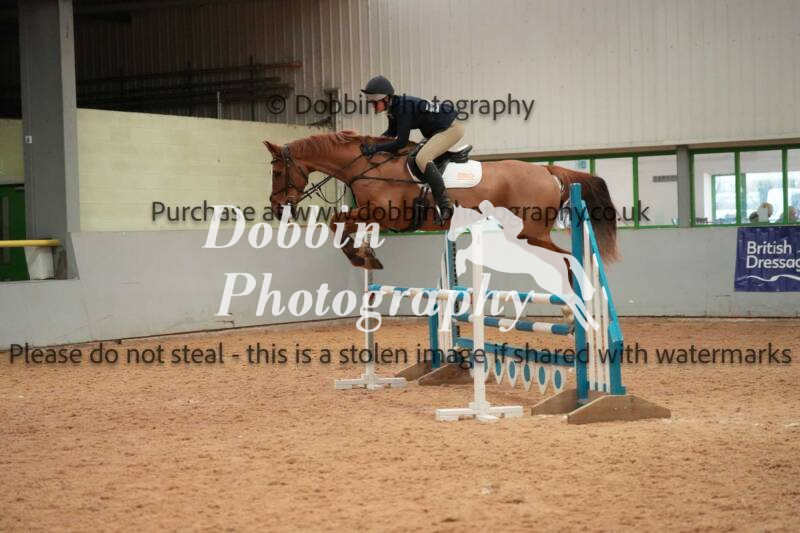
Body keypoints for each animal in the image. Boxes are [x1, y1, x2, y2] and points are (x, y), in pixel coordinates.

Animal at [264, 130, 618, 270]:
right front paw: (365, 255)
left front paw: (360, 257)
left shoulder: (386, 214)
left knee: (566, 259)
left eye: (278, 172)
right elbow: (342, 224)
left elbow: (337, 220)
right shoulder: (371, 213)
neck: (366, 166)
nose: (277, 208)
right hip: (527, 234)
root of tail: (546, 170)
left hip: (531, 232)